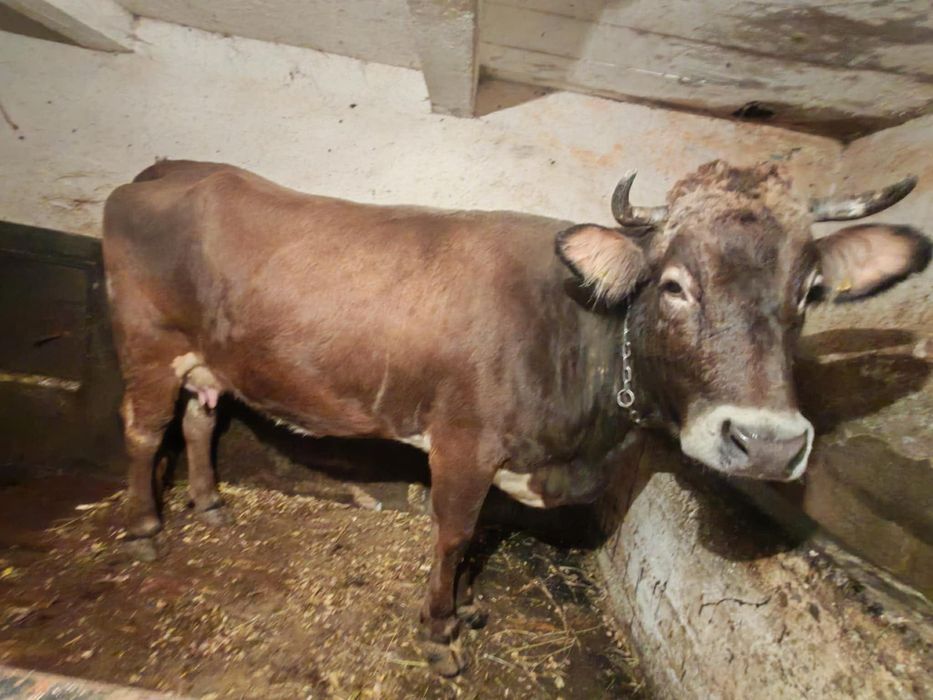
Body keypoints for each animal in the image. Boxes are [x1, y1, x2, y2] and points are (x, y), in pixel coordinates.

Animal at [102, 159, 929, 675]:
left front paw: (467, 609)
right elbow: (453, 534)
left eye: (809, 291)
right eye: (672, 285)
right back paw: (144, 528)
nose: (763, 443)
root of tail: (169, 170)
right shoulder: (463, 443)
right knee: (143, 431)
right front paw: (439, 633)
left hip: (211, 361)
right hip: (148, 341)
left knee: (200, 422)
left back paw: (208, 503)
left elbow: (479, 540)